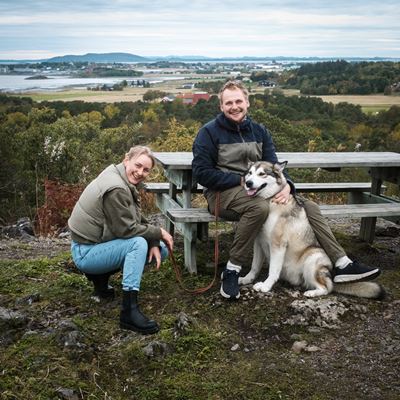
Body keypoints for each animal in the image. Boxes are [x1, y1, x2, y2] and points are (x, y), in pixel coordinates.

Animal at [239, 161, 382, 298]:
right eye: (250, 173)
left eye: (262, 174)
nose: (248, 183)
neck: (269, 201)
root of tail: (330, 276)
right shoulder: (258, 242)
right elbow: (254, 266)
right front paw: (247, 279)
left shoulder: (277, 244)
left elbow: (273, 270)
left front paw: (266, 286)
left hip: (312, 260)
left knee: (327, 288)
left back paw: (312, 293)